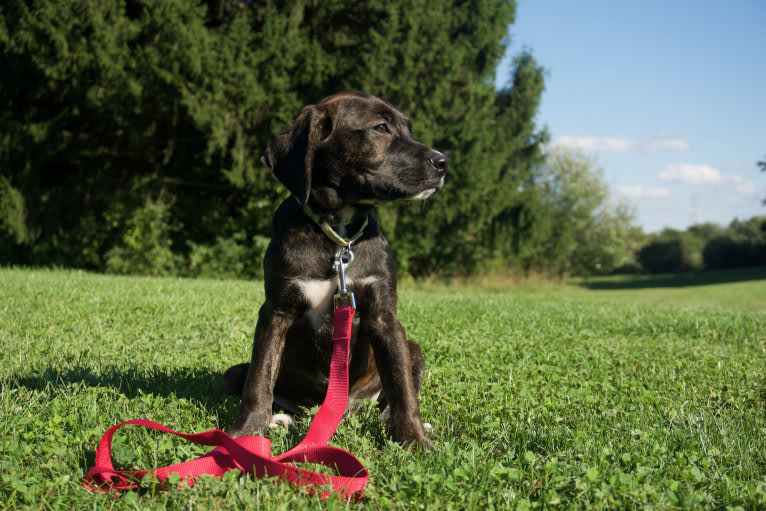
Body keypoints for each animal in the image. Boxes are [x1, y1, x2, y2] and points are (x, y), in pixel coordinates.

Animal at [224, 91, 450, 448]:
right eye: (381, 127)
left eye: (408, 129)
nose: (443, 163)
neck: (338, 234)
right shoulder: (276, 311)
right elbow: (259, 381)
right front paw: (245, 433)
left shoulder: (384, 316)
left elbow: (402, 387)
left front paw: (414, 439)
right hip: (235, 372)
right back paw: (278, 418)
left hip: (413, 350)